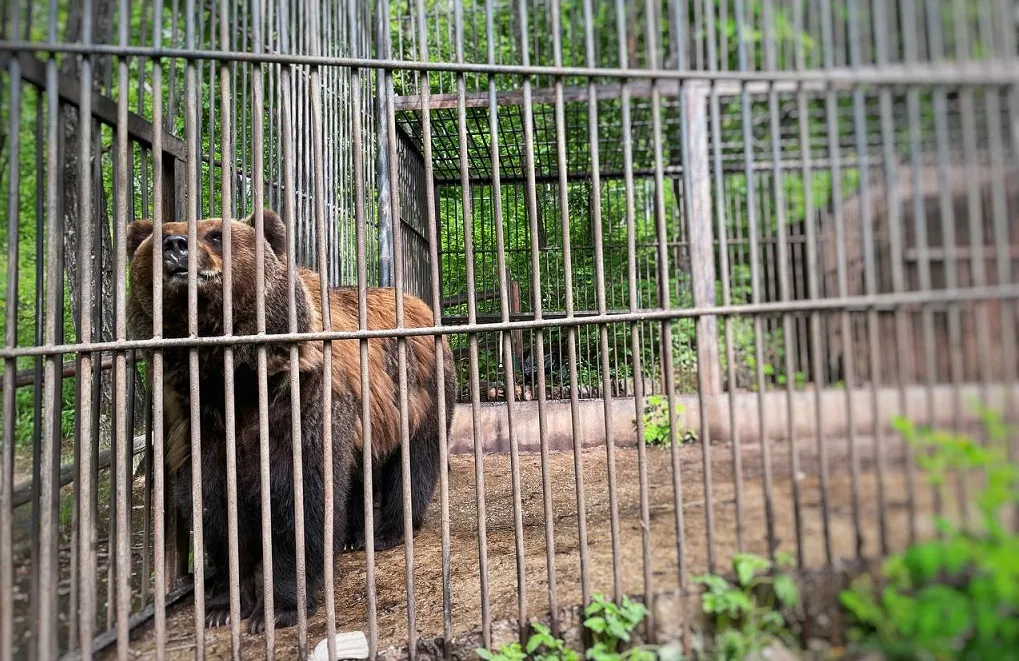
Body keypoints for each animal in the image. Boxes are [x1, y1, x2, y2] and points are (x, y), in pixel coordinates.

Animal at [126, 208, 454, 631]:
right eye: (162, 235)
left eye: (216, 235)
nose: (175, 246)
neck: (237, 380)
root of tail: (421, 305)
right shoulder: (199, 416)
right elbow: (213, 502)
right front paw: (222, 605)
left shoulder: (302, 398)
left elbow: (301, 495)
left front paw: (281, 606)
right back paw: (352, 535)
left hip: (418, 393)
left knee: (413, 461)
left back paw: (388, 531)